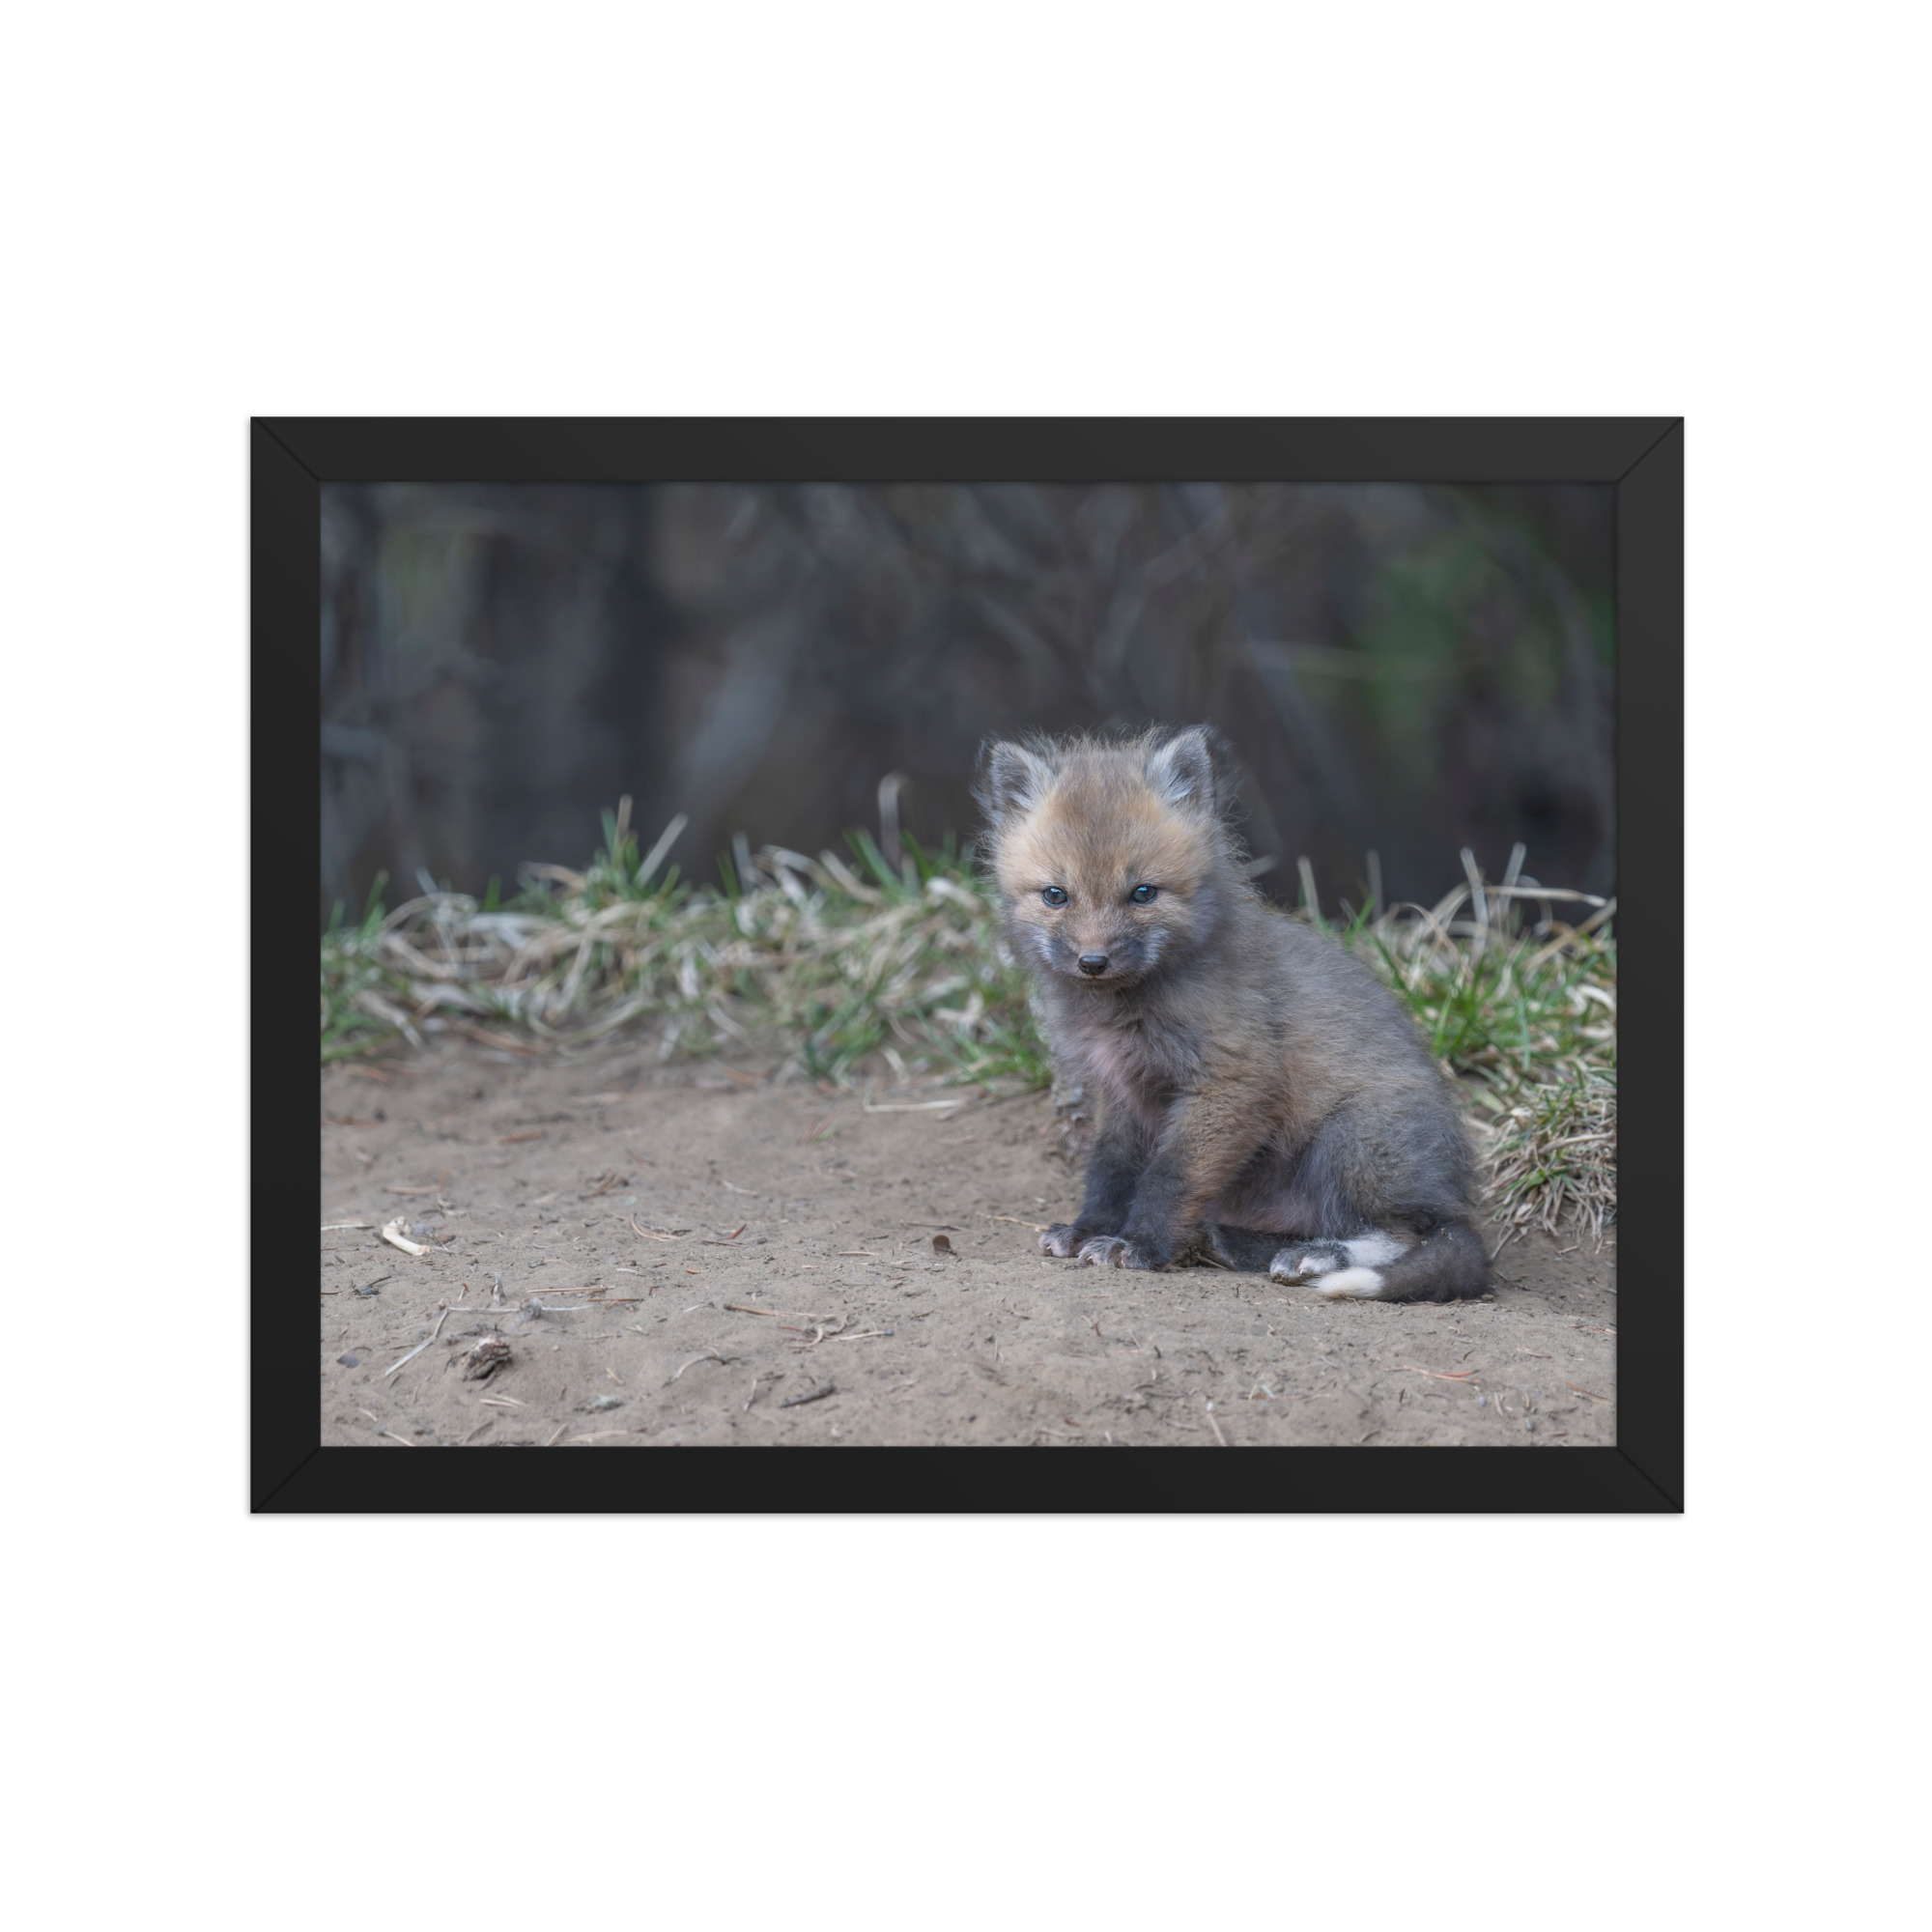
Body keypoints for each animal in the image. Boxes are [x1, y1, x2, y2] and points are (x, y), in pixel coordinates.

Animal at [973, 724, 1489, 1302]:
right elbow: (1109, 1171)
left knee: (1410, 1234)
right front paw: (1090, 1229)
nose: (1093, 961)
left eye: (1143, 893)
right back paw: (1238, 1243)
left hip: (1351, 1140)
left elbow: (1169, 1177)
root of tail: (1455, 1195)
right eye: (1056, 895)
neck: (1123, 1011)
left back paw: (1316, 1256)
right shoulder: (1121, 1091)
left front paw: (1139, 1246)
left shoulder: (1231, 1080)